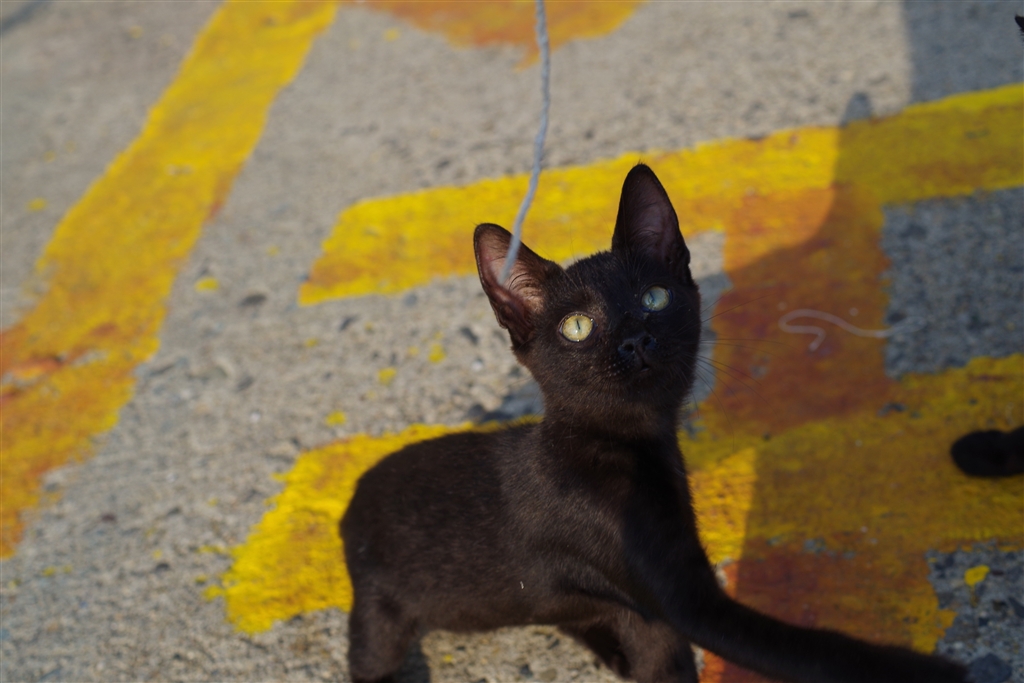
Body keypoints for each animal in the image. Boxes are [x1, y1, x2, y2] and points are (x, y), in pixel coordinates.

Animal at [340, 164, 969, 683]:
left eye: (655, 297)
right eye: (576, 327)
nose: (635, 339)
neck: (620, 447)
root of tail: (348, 508)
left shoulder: (655, 608)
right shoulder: (685, 603)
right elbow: (807, 650)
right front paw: (925, 671)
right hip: (381, 614)